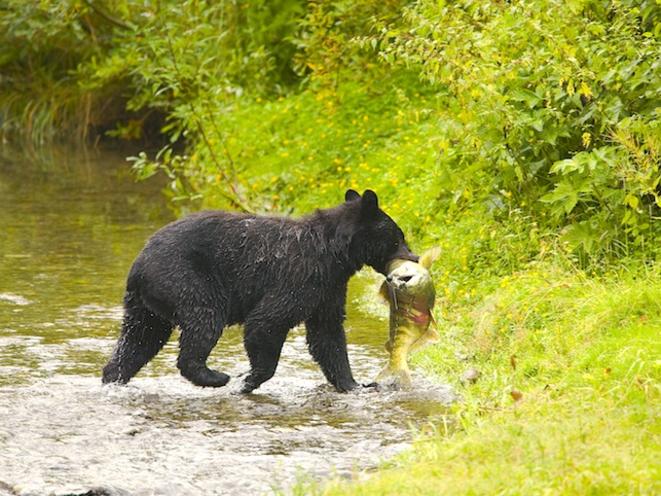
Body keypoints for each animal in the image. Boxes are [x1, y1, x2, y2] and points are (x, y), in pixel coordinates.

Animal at [102, 189, 417, 393]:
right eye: (398, 236)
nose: (414, 257)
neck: (334, 255)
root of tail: (139, 265)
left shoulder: (328, 289)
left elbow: (328, 336)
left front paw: (355, 384)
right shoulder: (299, 279)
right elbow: (266, 321)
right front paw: (248, 380)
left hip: (145, 307)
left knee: (139, 340)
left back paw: (113, 378)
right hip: (186, 280)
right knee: (204, 319)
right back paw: (215, 376)